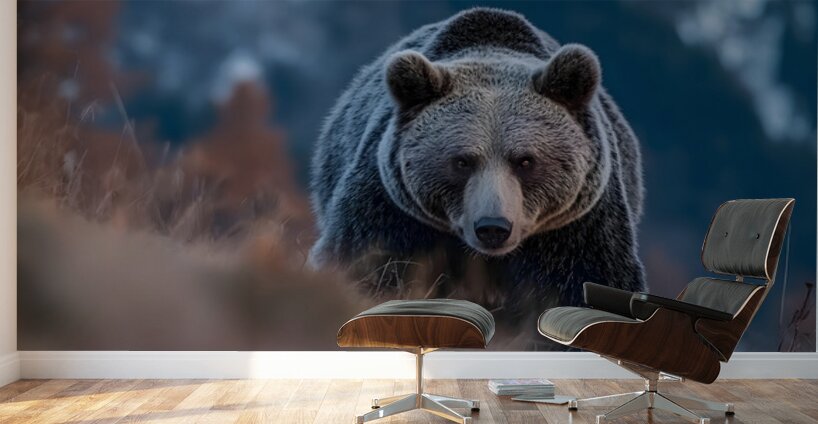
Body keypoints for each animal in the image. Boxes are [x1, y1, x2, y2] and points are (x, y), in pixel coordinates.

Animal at [309, 8, 645, 349]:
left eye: (525, 161)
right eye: (462, 161)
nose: (493, 227)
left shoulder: (577, 229)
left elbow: (583, 281)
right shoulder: (392, 209)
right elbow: (368, 262)